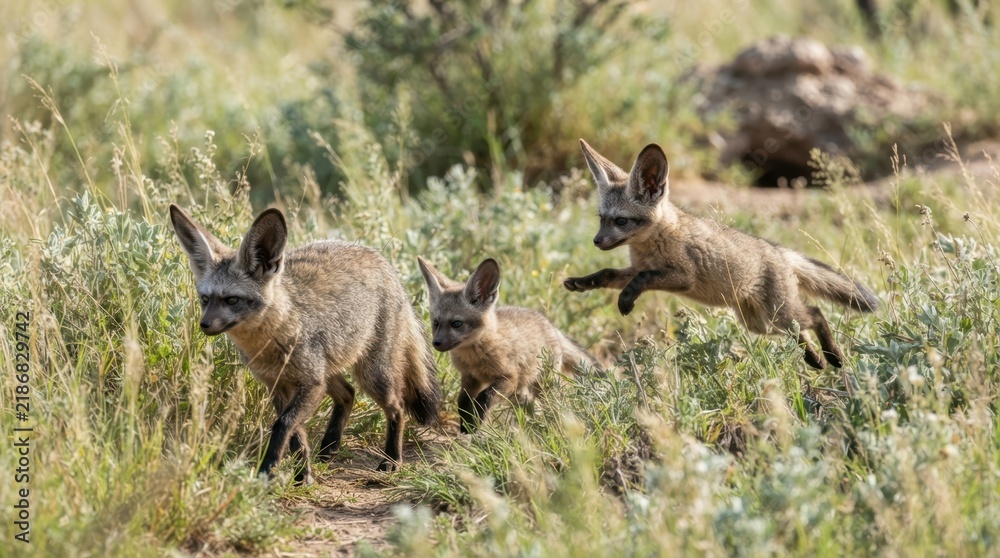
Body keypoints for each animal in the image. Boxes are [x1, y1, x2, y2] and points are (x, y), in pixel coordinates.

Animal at [169, 204, 440, 483]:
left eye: (232, 300)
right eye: (205, 299)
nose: (204, 325)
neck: (272, 341)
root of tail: (379, 258)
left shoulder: (310, 384)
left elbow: (283, 425)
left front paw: (268, 470)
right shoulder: (279, 386)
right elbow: (296, 434)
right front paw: (302, 475)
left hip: (371, 375)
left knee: (397, 408)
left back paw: (391, 459)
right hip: (330, 373)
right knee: (348, 394)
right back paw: (329, 448)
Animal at [418, 257, 597, 433]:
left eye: (456, 324)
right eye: (436, 323)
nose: (436, 343)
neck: (476, 359)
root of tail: (552, 327)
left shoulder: (509, 378)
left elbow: (485, 397)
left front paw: (476, 422)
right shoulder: (470, 377)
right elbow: (462, 402)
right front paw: (466, 425)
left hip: (542, 385)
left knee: (555, 405)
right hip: (523, 392)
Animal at [563, 140, 879, 370]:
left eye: (621, 221)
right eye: (602, 219)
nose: (597, 241)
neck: (654, 243)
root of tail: (779, 251)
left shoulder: (682, 277)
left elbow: (643, 279)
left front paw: (626, 300)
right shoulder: (634, 268)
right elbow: (608, 273)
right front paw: (583, 282)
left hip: (778, 315)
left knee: (816, 314)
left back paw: (833, 356)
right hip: (763, 324)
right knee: (800, 330)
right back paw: (815, 359)